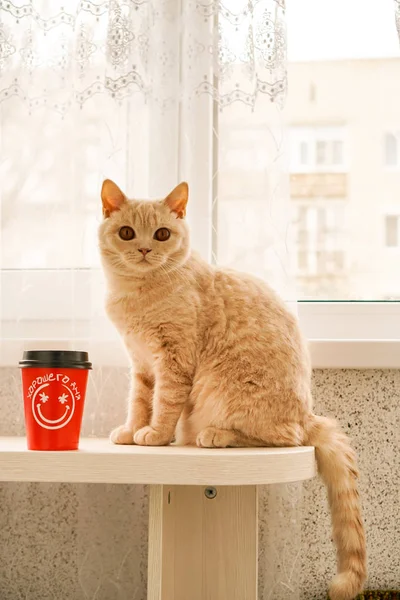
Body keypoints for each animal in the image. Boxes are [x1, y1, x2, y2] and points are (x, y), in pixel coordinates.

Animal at [99, 178, 366, 600]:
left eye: (162, 234)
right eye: (127, 233)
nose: (143, 249)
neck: (137, 294)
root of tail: (309, 416)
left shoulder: (173, 361)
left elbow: (164, 404)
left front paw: (155, 435)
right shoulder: (141, 364)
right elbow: (139, 402)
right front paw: (131, 431)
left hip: (228, 396)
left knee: (280, 437)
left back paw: (216, 435)